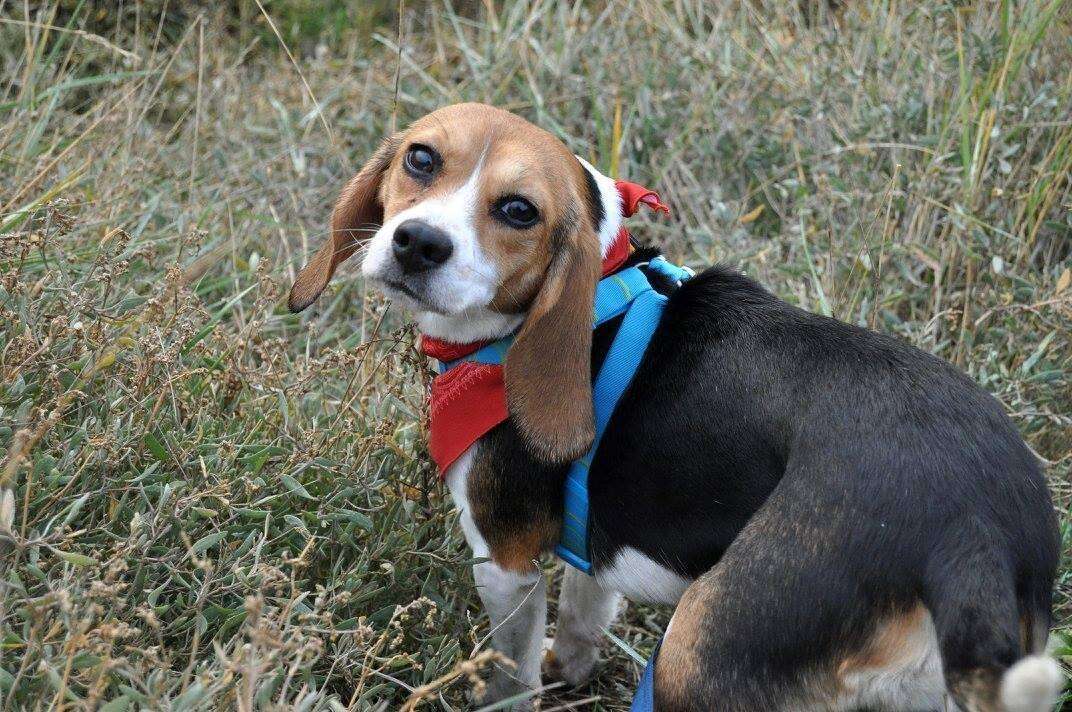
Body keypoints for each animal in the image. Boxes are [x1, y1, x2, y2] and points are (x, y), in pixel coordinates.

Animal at [291, 102, 1063, 707]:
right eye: (421, 158)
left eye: (519, 211)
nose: (418, 243)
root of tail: (974, 531)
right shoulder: (591, 543)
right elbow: (584, 612)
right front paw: (571, 669)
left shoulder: (504, 560)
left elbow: (510, 671)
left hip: (698, 653)